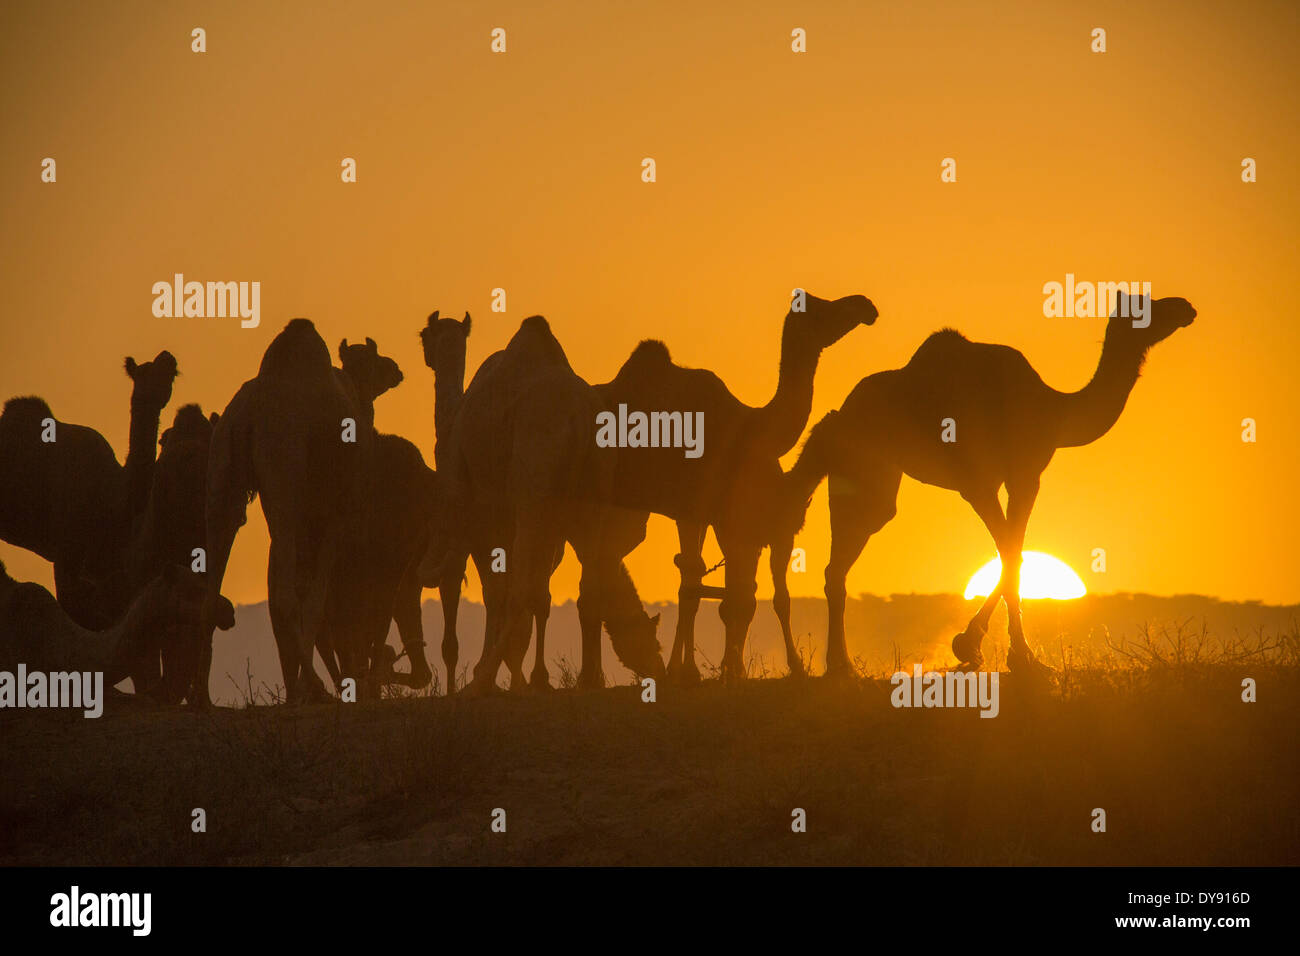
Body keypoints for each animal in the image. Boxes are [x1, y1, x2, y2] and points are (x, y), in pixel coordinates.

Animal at [197, 319, 371, 702]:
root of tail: (251, 412)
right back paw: (314, 686)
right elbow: (317, 597)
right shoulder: (335, 512)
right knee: (286, 595)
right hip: (283, 463)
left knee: (212, 576)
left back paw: (201, 696)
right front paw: (310, 687)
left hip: (223, 466)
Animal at [447, 317, 665, 691]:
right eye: (651, 640)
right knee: (584, 589)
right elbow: (542, 595)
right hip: (588, 496)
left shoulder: (481, 507)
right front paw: (537, 676)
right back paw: (588, 679)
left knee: (518, 587)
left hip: (532, 494)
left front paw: (508, 675)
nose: (660, 670)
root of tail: (579, 419)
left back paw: (485, 679)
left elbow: (500, 591)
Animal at [595, 291, 878, 681]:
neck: (749, 429)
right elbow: (705, 590)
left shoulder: (719, 518)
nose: (866, 306)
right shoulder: (707, 513)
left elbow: (718, 591)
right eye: (819, 310)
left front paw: (712, 671)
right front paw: (696, 672)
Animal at [769, 295, 1196, 676]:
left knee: (839, 564)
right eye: (1146, 305)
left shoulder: (1022, 477)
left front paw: (990, 649)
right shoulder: (986, 479)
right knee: (839, 561)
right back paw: (839, 666)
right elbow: (1011, 554)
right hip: (864, 472)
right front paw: (1001, 652)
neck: (1053, 410)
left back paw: (838, 664)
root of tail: (835, 419)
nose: (1186, 307)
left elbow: (1013, 553)